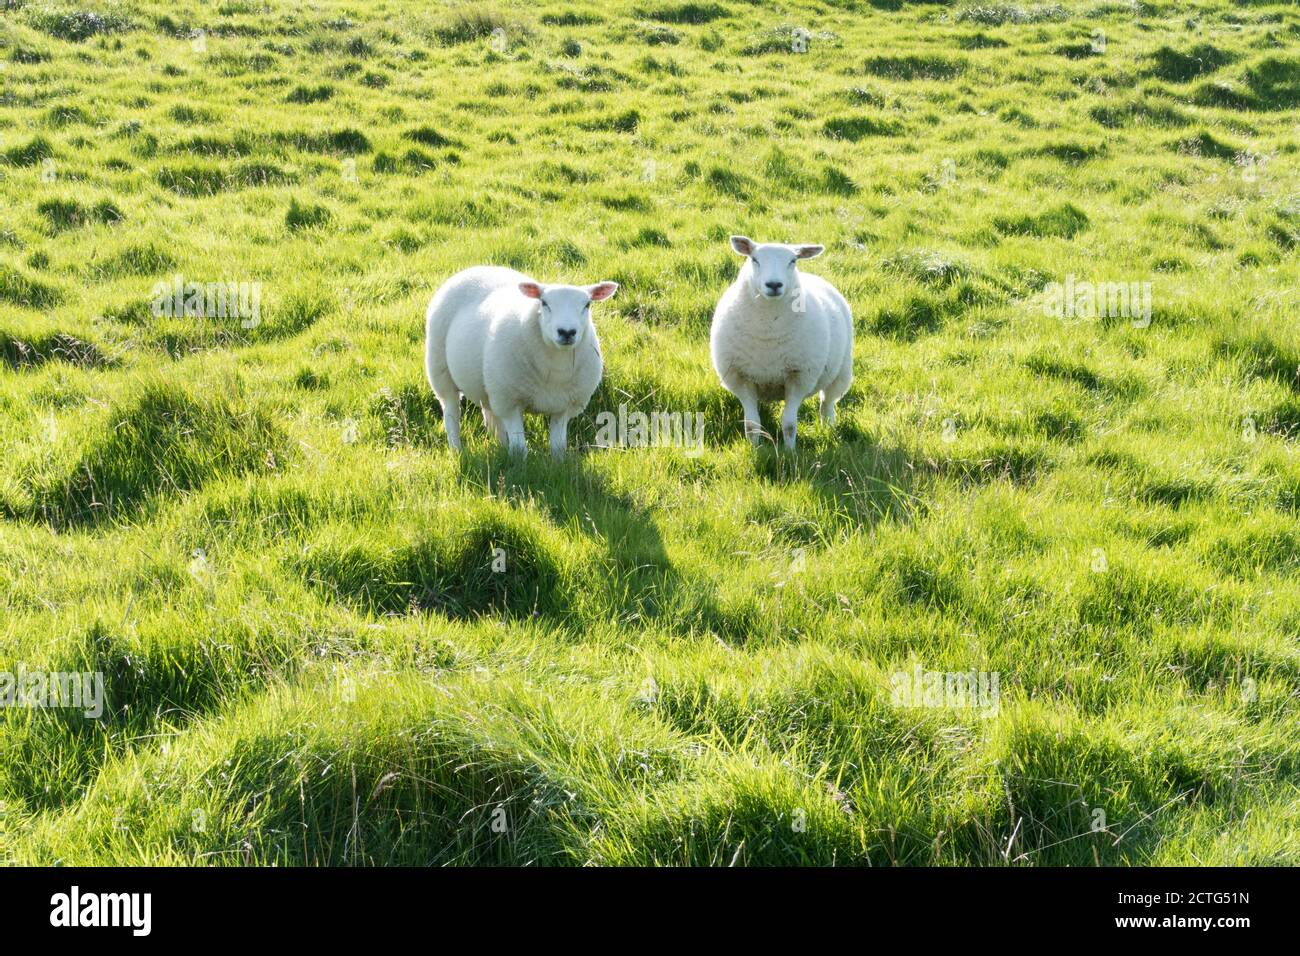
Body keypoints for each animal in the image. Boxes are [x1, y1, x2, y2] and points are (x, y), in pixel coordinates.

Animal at [421, 265, 613, 460]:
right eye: (544, 303)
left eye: (587, 304)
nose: (566, 332)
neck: (556, 369)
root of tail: (475, 268)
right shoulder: (510, 403)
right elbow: (520, 448)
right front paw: (519, 464)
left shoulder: (563, 408)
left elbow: (558, 448)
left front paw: (557, 463)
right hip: (440, 371)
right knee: (451, 413)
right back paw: (456, 450)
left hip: (489, 386)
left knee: (491, 416)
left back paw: (500, 445)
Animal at [712, 238, 852, 450]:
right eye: (754, 259)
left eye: (793, 261)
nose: (774, 284)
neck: (768, 326)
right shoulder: (741, 378)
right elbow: (752, 425)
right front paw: (755, 449)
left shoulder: (799, 377)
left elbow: (789, 424)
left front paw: (789, 452)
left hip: (841, 373)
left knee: (827, 404)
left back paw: (828, 429)